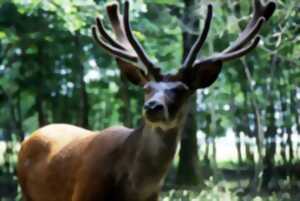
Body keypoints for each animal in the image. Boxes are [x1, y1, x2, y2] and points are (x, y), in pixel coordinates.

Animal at [15, 0, 274, 200]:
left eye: (181, 89)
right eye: (147, 88)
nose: (153, 106)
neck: (133, 189)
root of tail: (32, 136)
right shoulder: (82, 192)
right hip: (27, 191)